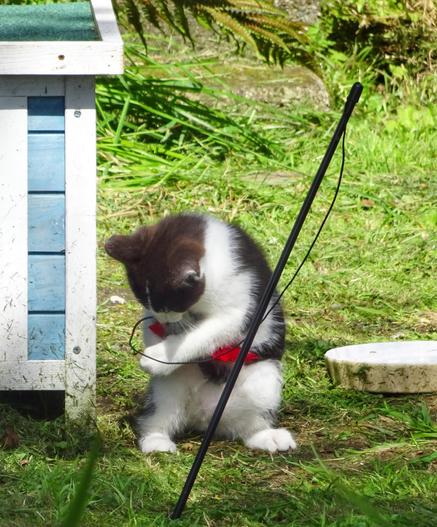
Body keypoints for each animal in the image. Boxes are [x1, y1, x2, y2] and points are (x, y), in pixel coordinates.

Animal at [105, 213, 296, 454]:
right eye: (145, 301)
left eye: (170, 305)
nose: (166, 322)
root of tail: (205, 418)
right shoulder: (152, 316)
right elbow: (150, 326)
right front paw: (158, 344)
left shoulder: (241, 306)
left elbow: (205, 333)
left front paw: (158, 356)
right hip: (168, 388)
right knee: (159, 413)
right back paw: (156, 441)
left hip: (264, 382)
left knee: (252, 422)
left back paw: (265, 436)